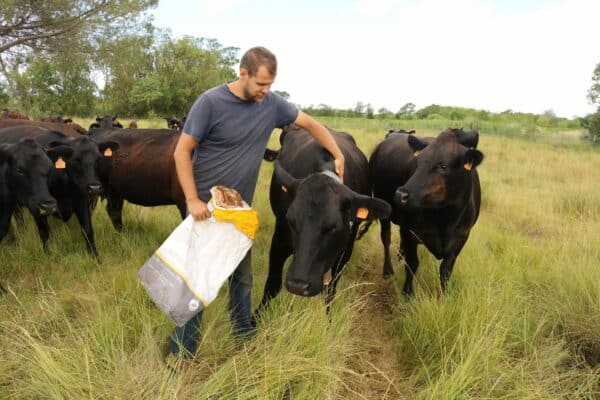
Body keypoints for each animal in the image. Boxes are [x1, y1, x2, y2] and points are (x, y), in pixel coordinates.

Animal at [0, 127, 120, 256]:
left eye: (98, 159)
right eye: (76, 159)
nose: (94, 187)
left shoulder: (82, 202)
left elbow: (87, 229)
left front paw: (95, 256)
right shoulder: (38, 206)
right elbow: (44, 232)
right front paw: (48, 255)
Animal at [256, 123, 390, 310]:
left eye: (334, 227)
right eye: (291, 221)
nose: (299, 285)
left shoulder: (345, 248)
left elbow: (331, 290)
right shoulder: (280, 237)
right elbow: (272, 285)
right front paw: (255, 316)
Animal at [366, 128, 482, 296]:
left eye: (443, 165)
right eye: (418, 162)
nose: (400, 194)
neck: (447, 218)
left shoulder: (461, 237)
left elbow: (446, 271)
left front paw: (444, 297)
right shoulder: (410, 231)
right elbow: (412, 264)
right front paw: (407, 293)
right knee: (386, 237)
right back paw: (388, 270)